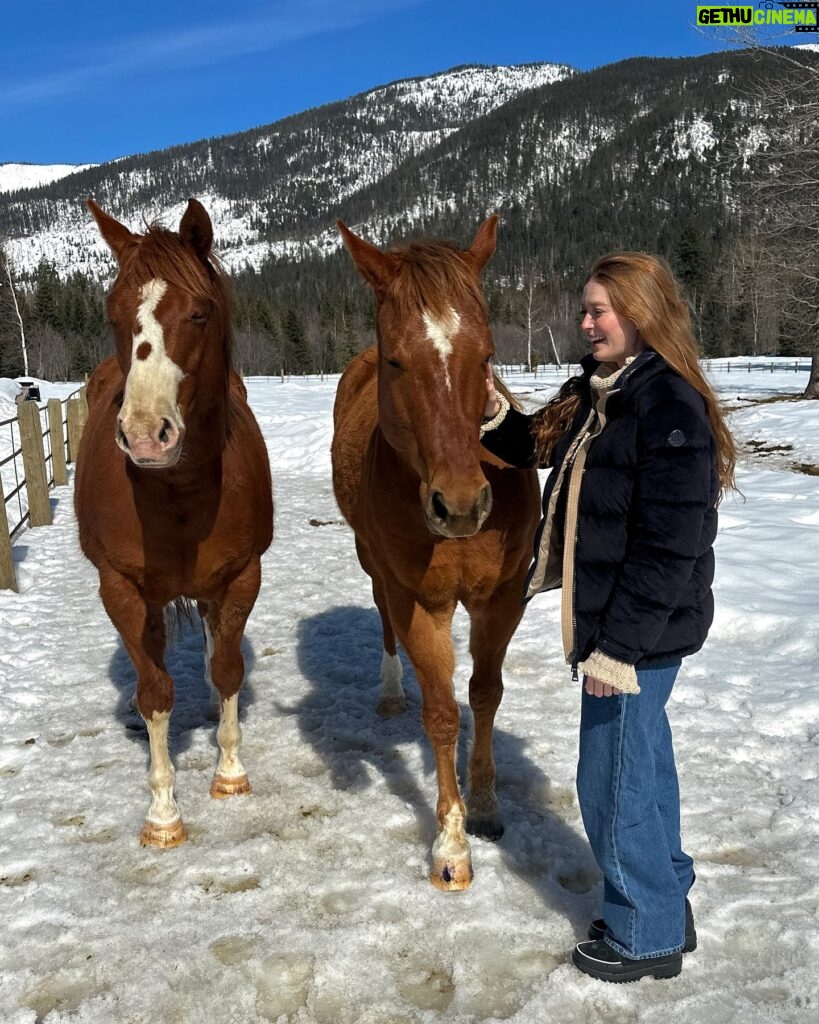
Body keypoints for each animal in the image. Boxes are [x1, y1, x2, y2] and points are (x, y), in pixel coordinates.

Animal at [74, 199, 272, 847]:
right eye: (112, 312)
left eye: (199, 313)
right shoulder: (122, 589)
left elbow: (228, 668)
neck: (179, 493)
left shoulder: (240, 578)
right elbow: (155, 690)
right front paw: (163, 813)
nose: (143, 435)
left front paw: (230, 774)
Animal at [329, 220, 540, 892]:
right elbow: (444, 714)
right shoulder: (422, 603)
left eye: (487, 356)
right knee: (383, 620)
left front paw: (488, 807)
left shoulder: (502, 601)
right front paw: (451, 846)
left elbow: (485, 694)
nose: (462, 505)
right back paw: (391, 690)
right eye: (398, 360)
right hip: (375, 567)